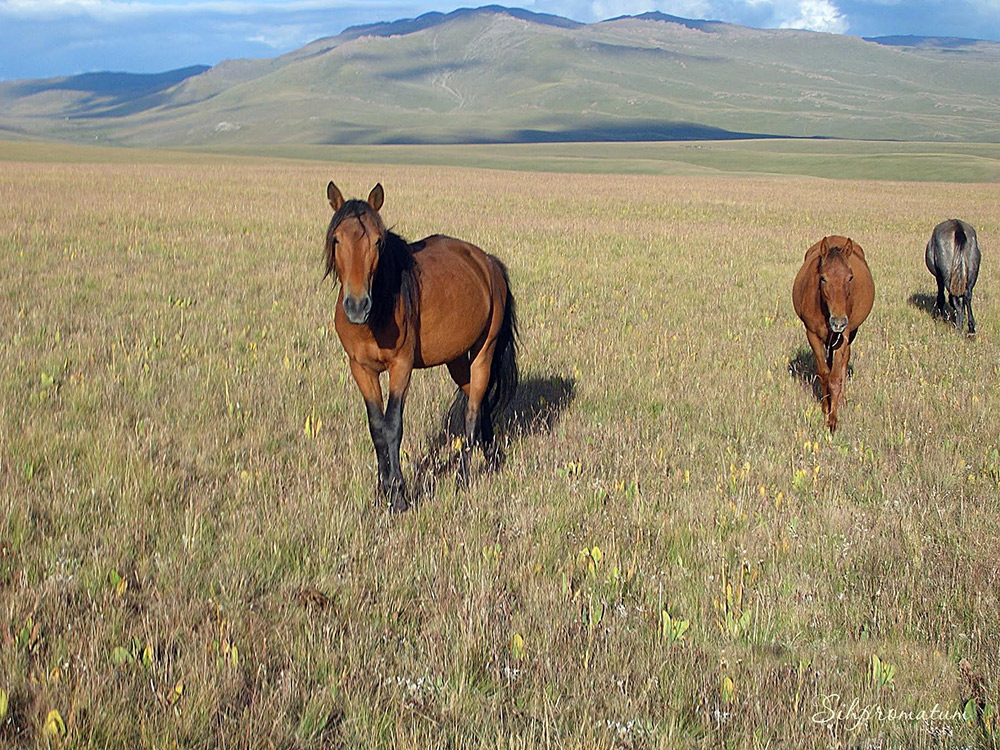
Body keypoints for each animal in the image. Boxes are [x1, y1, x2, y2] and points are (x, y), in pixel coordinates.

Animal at [324, 184, 520, 512]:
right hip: (456, 359)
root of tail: (487, 262)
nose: (357, 305)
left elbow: (393, 425)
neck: (377, 315)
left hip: (484, 350)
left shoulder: (401, 367)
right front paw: (381, 492)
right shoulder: (360, 369)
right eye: (337, 238)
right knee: (477, 400)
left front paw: (398, 496)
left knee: (472, 409)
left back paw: (463, 478)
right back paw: (491, 459)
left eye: (378, 241)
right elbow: (377, 427)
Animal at [792, 235, 872, 434]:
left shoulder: (843, 336)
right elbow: (824, 373)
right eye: (823, 278)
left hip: (850, 333)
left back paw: (842, 399)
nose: (838, 322)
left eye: (850, 277)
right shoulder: (812, 334)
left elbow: (835, 377)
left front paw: (833, 420)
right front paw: (825, 407)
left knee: (843, 362)